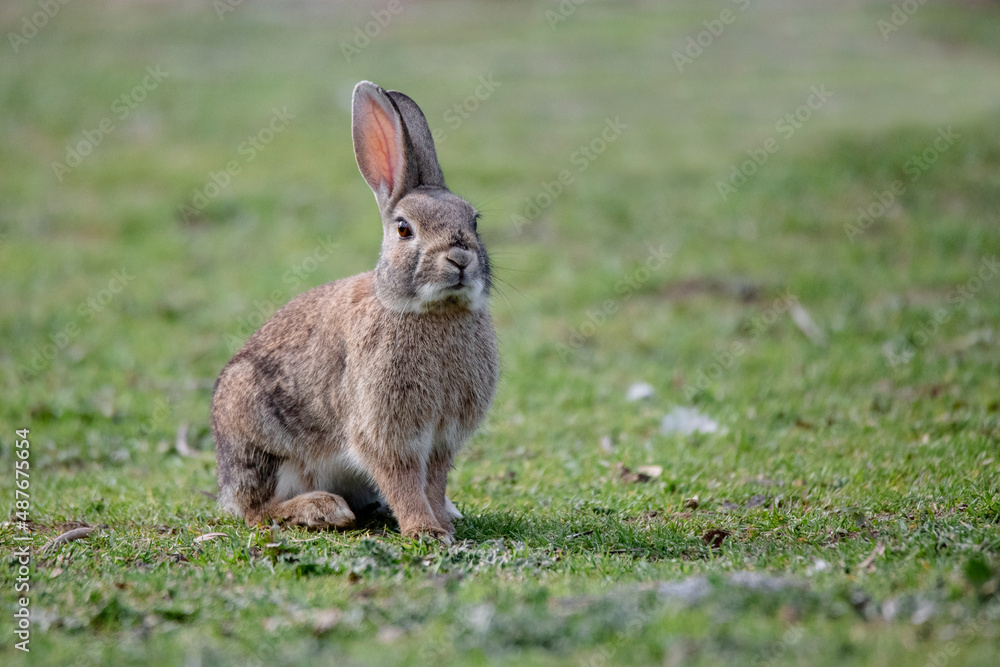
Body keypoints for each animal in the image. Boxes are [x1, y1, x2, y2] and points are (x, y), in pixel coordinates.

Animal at [211, 81, 498, 543]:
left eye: (473, 221)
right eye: (404, 229)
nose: (459, 258)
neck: (433, 311)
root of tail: (226, 485)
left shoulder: (441, 438)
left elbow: (433, 481)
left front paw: (441, 521)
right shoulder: (386, 428)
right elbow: (402, 478)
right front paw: (425, 531)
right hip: (261, 442)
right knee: (257, 511)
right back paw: (322, 509)